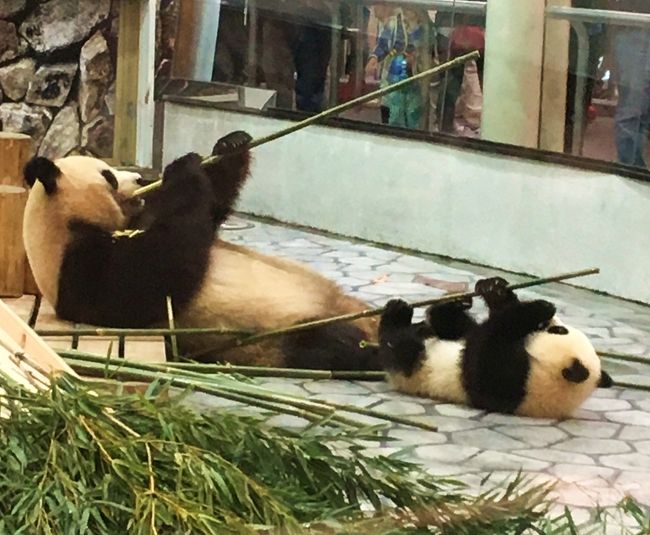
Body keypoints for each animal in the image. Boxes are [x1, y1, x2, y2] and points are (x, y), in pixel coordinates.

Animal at [22, 132, 378, 370]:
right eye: (109, 175)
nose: (139, 178)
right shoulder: (76, 266)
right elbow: (152, 275)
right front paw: (183, 168)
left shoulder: (138, 219)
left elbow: (208, 212)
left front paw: (230, 146)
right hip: (274, 336)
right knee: (333, 344)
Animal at [378, 276, 612, 418]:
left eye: (559, 331)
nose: (551, 321)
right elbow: (482, 328)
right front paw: (496, 290)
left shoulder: (512, 381)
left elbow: (486, 347)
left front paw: (537, 309)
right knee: (451, 324)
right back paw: (449, 307)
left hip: (415, 365)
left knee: (399, 346)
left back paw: (397, 313)